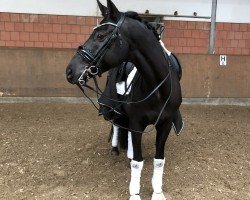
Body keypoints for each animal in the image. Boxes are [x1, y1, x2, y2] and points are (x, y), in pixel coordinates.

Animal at [66, 0, 184, 199]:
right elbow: (138, 161)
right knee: (116, 125)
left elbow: (159, 160)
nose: (70, 71)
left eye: (100, 35)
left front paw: (157, 192)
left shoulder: (165, 123)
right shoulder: (137, 123)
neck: (157, 88)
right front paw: (135, 193)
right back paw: (116, 149)